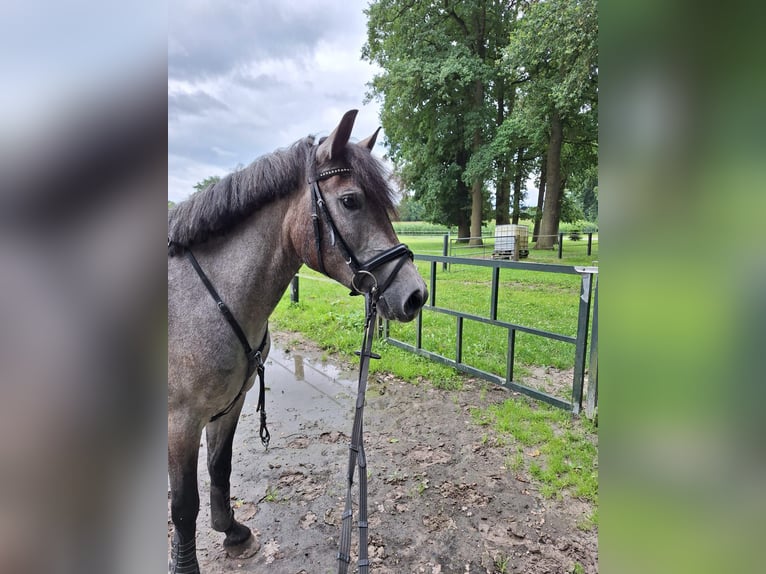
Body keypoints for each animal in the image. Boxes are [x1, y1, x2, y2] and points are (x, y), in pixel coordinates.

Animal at [167, 110, 428, 573]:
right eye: (350, 201)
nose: (416, 295)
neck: (203, 298)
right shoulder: (181, 420)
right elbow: (183, 506)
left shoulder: (229, 405)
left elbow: (220, 468)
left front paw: (232, 532)